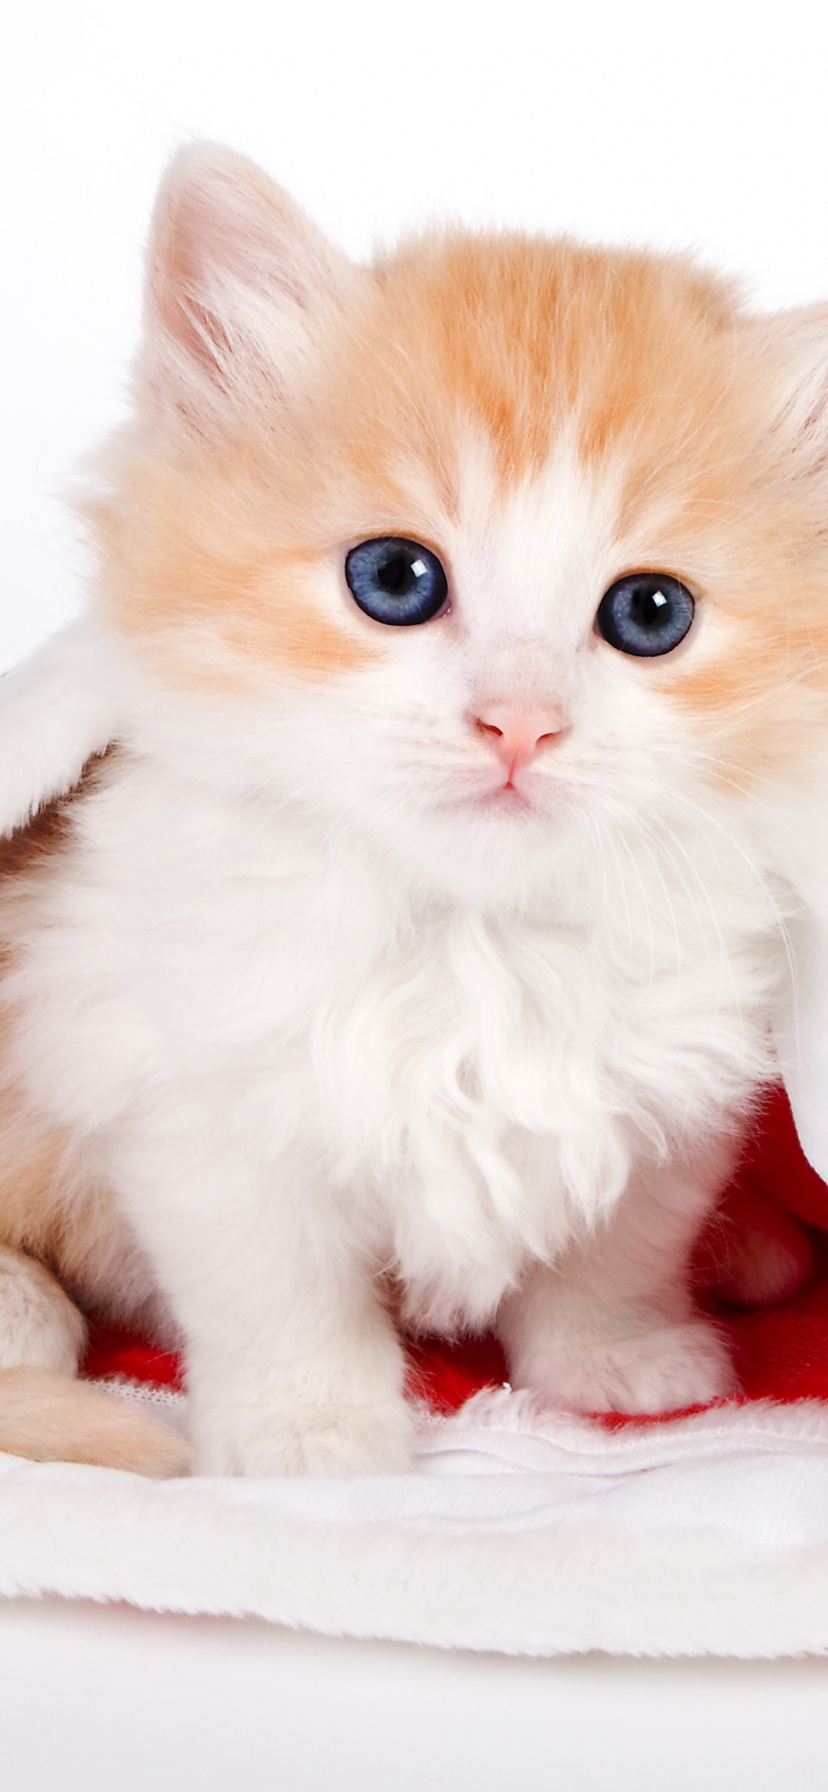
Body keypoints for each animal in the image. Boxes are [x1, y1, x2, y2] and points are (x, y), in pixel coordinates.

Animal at [1, 146, 828, 1476]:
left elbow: (617, 1244)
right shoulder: (188, 1096)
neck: (476, 943)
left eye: (650, 612)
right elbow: (278, 1292)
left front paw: (619, 1354)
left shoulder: (671, 1102)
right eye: (394, 578)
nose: (519, 723)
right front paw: (310, 1430)